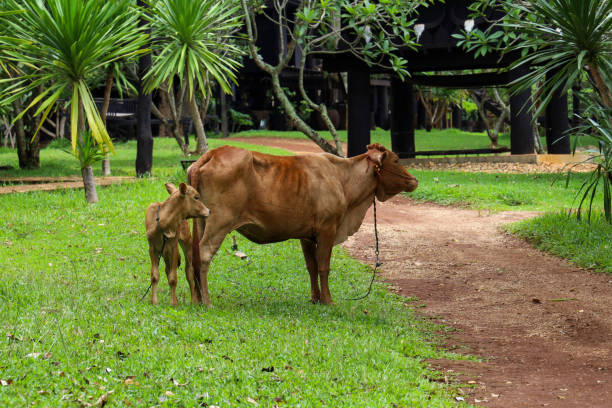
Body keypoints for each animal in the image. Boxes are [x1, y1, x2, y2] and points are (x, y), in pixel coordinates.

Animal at [186, 143, 416, 306]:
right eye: (396, 160)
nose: (414, 180)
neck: (342, 178)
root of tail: (213, 153)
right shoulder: (327, 230)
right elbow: (323, 267)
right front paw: (328, 300)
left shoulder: (306, 235)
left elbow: (311, 267)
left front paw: (315, 298)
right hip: (219, 222)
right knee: (204, 254)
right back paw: (207, 301)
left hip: (202, 222)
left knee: (193, 256)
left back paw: (197, 299)